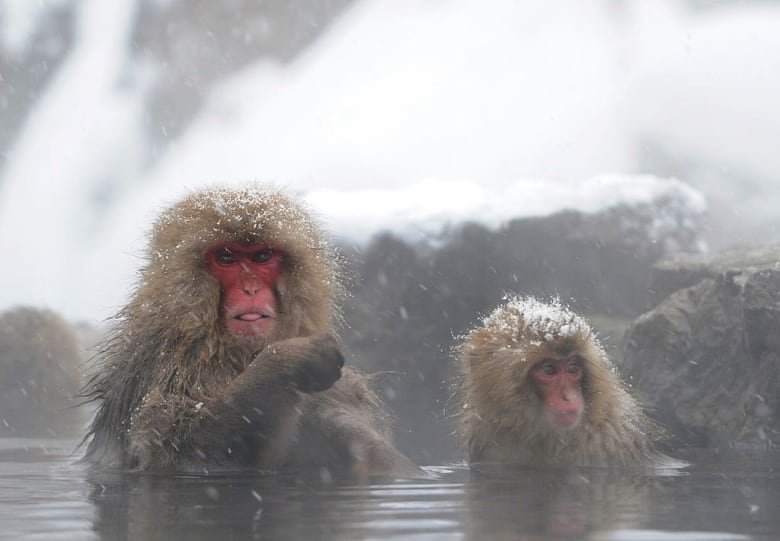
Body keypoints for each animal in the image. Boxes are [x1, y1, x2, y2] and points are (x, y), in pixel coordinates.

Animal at [81, 184, 418, 478]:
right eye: (226, 258)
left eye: (262, 257)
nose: (251, 288)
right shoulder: (167, 366)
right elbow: (177, 452)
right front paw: (283, 363)